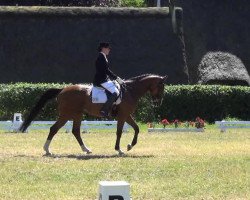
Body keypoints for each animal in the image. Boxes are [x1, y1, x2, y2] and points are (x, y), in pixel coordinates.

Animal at [20, 74, 168, 155]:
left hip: (77, 115)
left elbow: (136, 129)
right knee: (54, 129)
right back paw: (47, 150)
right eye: (161, 86)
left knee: (75, 131)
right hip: (66, 114)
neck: (130, 91)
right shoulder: (122, 116)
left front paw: (130, 146)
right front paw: (119, 149)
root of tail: (63, 89)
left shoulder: (127, 115)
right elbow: (119, 132)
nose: (158, 103)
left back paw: (86, 149)